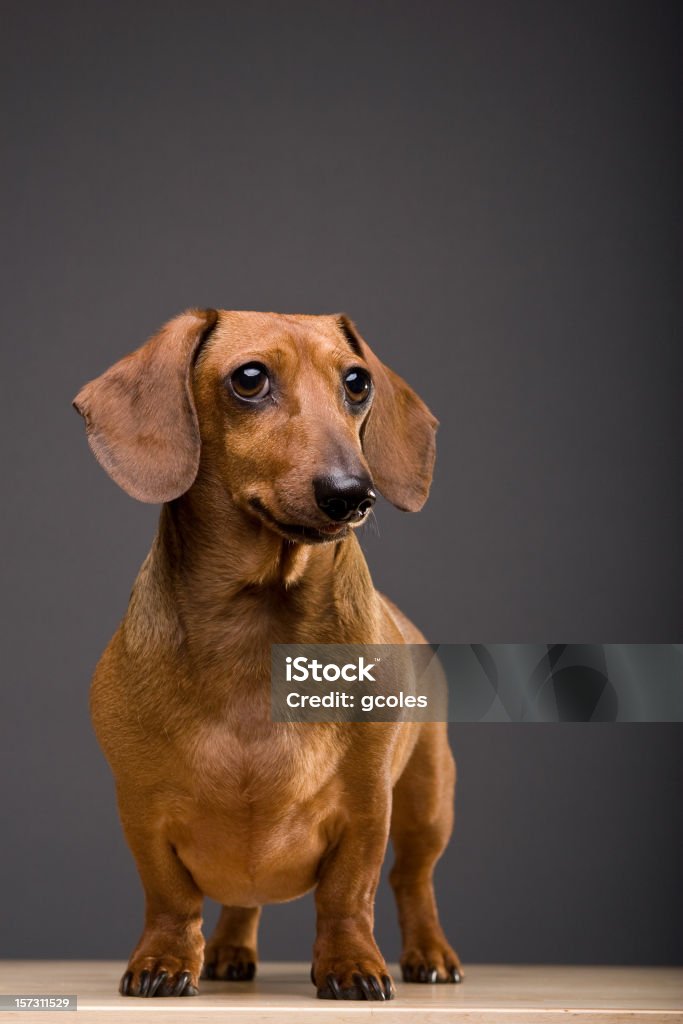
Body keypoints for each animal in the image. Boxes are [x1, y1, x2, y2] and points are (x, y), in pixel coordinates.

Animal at [73, 309, 458, 999]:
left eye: (357, 382)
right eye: (249, 378)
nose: (352, 494)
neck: (257, 631)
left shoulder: (368, 807)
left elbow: (349, 894)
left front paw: (351, 964)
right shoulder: (141, 808)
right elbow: (170, 898)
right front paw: (165, 959)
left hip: (428, 802)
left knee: (412, 881)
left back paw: (430, 953)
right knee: (241, 900)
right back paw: (227, 950)